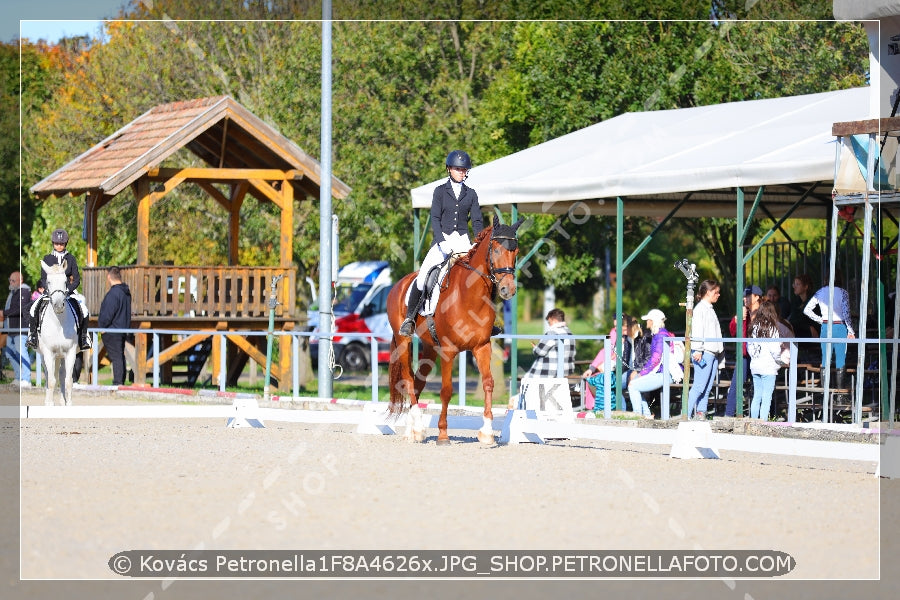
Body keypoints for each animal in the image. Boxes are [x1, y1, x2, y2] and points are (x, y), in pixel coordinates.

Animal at [36, 260, 79, 406]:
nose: (59, 306)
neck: (59, 324)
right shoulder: (49, 353)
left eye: (65, 281)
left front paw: (69, 404)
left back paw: (62, 401)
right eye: (48, 282)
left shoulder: (70, 353)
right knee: (49, 375)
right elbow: (51, 380)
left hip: (61, 356)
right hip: (45, 356)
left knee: (61, 375)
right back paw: (48, 401)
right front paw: (49, 404)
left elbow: (68, 381)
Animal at [384, 217, 524, 446]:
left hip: (430, 347)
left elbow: (488, 383)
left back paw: (412, 431)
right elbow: (447, 391)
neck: (470, 296)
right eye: (495, 249)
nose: (508, 290)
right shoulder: (448, 350)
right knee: (408, 379)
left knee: (418, 382)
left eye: (516, 251)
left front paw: (487, 433)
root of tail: (400, 283)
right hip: (404, 341)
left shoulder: (482, 346)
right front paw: (443, 434)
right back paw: (419, 429)